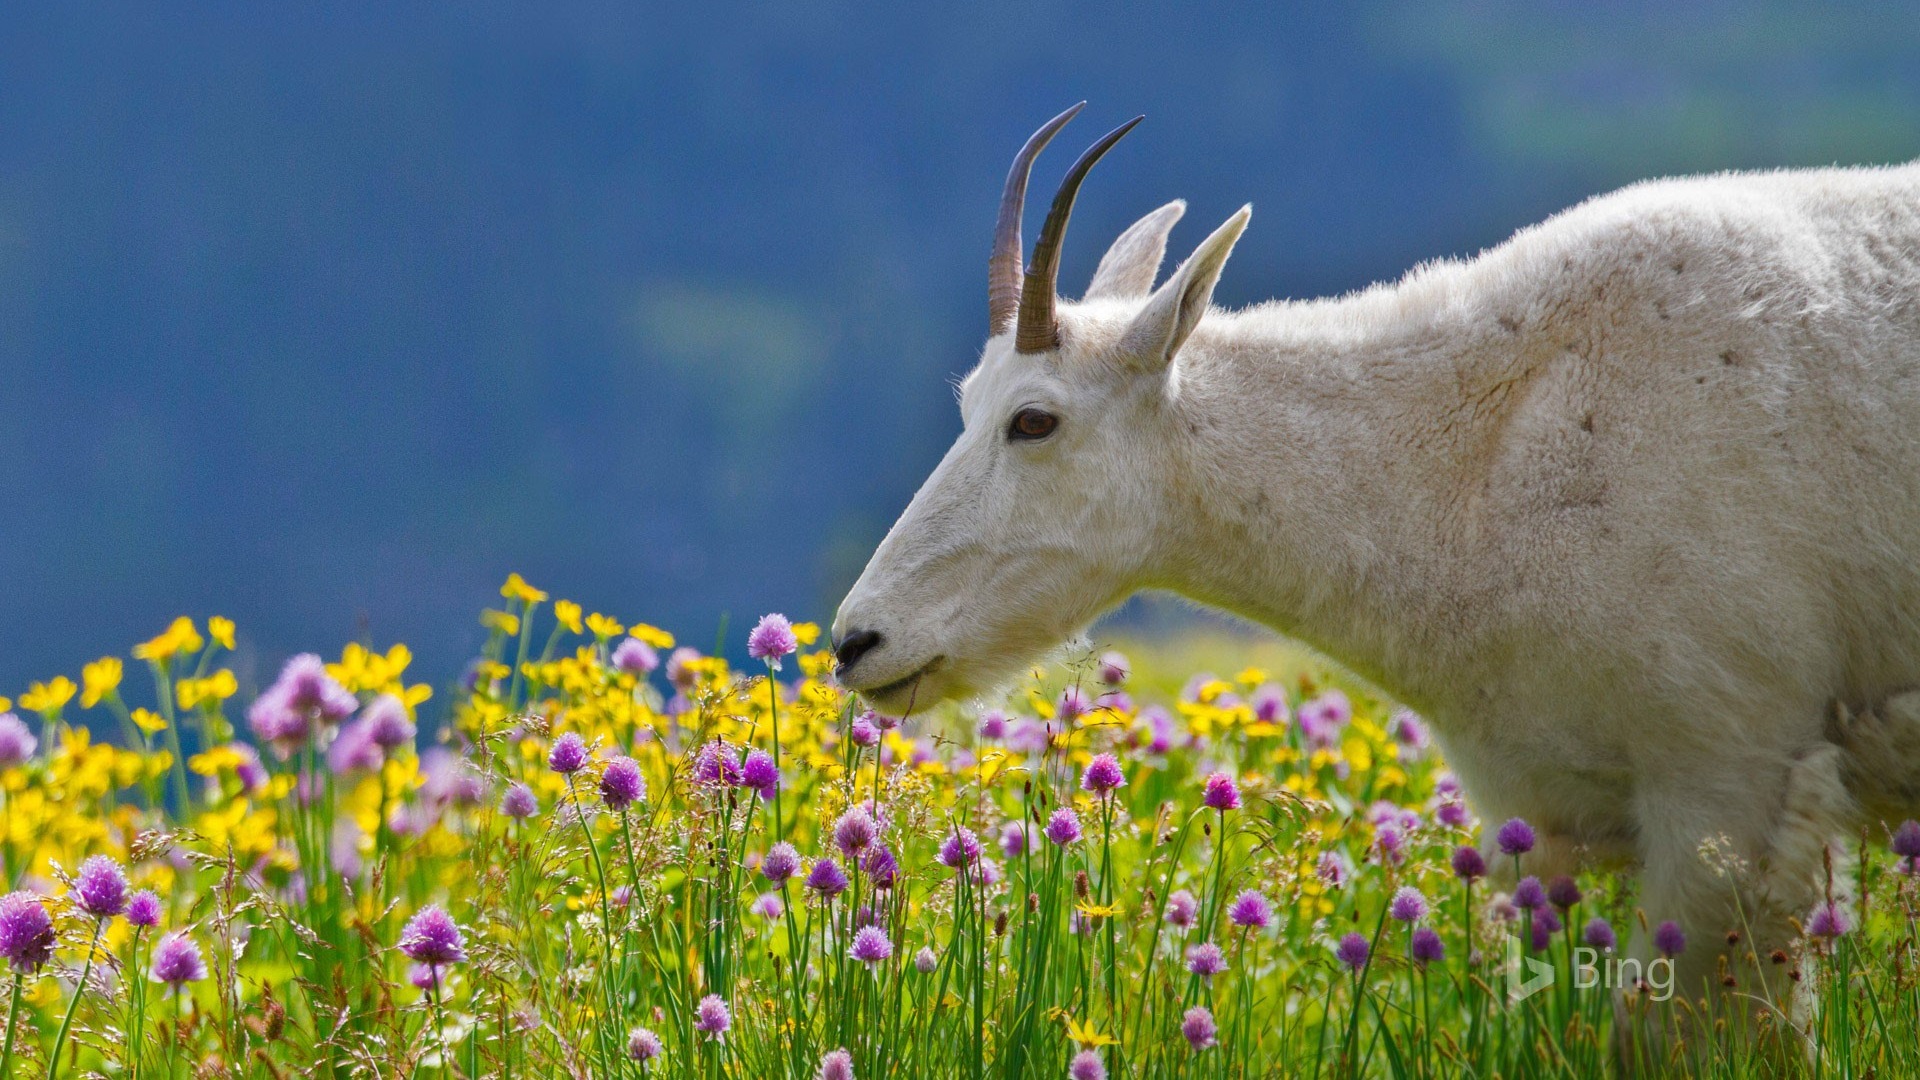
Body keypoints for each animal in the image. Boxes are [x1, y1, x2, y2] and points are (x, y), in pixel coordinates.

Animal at [833, 105, 1920, 1014]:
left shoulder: (1734, 778)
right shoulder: (1550, 817)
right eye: (970, 402)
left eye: (1034, 419)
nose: (857, 642)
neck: (1478, 460)